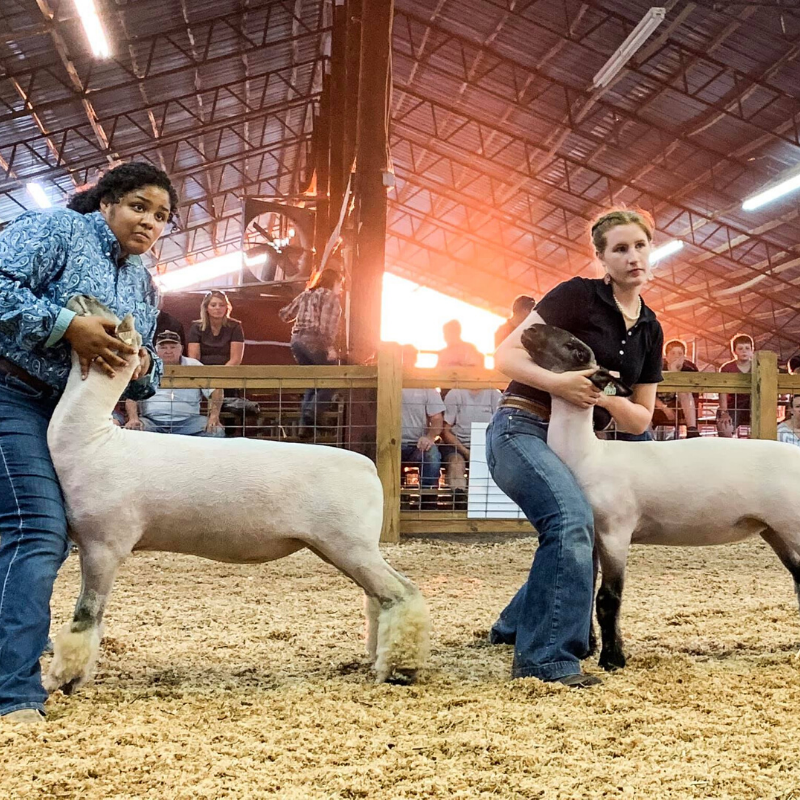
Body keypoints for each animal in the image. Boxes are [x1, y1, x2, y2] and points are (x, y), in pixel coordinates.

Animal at [43, 296, 432, 692]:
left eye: (100, 313)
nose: (78, 297)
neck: (91, 439)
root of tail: (368, 467)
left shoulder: (103, 544)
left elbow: (86, 616)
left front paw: (63, 679)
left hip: (350, 545)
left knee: (402, 594)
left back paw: (400, 670)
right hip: (338, 548)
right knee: (378, 600)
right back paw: (379, 658)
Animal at [520, 322, 800, 672]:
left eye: (577, 349)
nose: (530, 328)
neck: (588, 454)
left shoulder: (615, 532)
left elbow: (607, 598)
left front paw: (612, 659)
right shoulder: (595, 533)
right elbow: (587, 589)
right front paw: (591, 648)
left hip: (793, 525)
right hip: (775, 530)